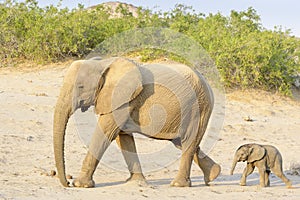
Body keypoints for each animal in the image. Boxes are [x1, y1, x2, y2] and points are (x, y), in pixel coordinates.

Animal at [53, 56, 220, 188]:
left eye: (80, 86)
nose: (67, 182)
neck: (103, 64)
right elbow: (123, 136)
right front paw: (135, 181)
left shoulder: (123, 100)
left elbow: (106, 132)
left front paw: (80, 184)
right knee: (182, 142)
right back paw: (213, 174)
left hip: (198, 108)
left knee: (189, 142)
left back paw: (178, 184)